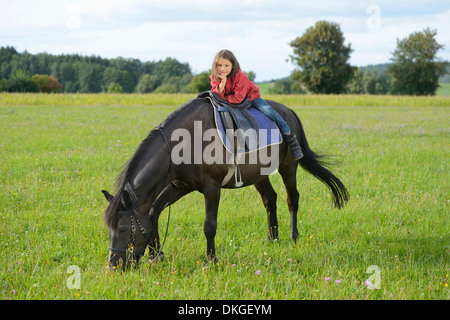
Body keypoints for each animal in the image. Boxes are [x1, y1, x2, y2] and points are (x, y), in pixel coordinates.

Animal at [102, 96, 348, 268]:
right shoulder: (179, 186)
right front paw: (156, 254)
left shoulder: (212, 188)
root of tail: (288, 112)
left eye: (123, 228)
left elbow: (209, 226)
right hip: (259, 174)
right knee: (270, 199)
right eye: (109, 228)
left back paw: (293, 237)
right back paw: (272, 239)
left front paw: (211, 260)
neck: (186, 141)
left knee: (292, 199)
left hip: (289, 168)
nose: (113, 265)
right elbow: (153, 212)